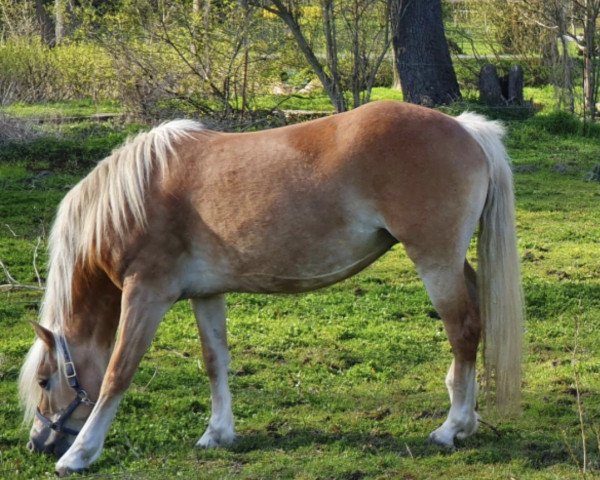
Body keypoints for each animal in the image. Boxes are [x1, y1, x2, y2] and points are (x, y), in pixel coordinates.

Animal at [18, 101, 524, 476]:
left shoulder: (146, 293)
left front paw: (79, 454)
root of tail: (466, 128)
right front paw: (217, 434)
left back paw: (451, 428)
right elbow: (215, 361)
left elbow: (118, 372)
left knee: (463, 331)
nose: (38, 443)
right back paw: (465, 416)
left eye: (44, 380)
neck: (135, 197)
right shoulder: (206, 294)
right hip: (452, 263)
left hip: (435, 262)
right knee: (474, 322)